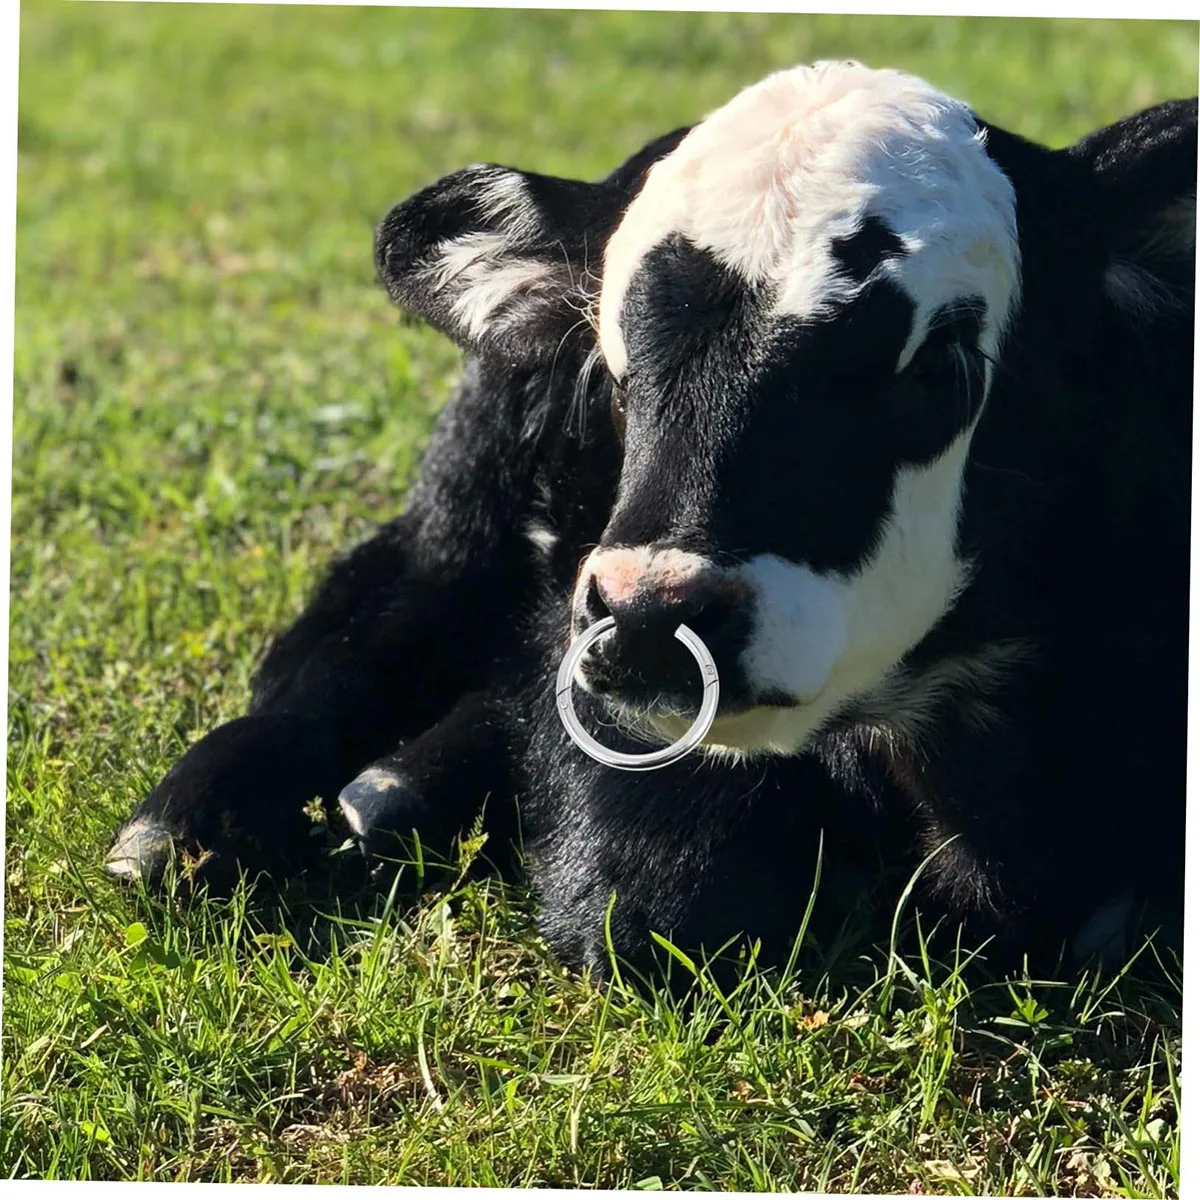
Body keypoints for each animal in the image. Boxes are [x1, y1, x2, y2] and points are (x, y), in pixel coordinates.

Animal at [107, 62, 1196, 979]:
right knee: (351, 641)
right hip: (459, 513)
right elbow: (648, 908)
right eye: (614, 368)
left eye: (939, 365)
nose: (648, 617)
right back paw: (192, 828)